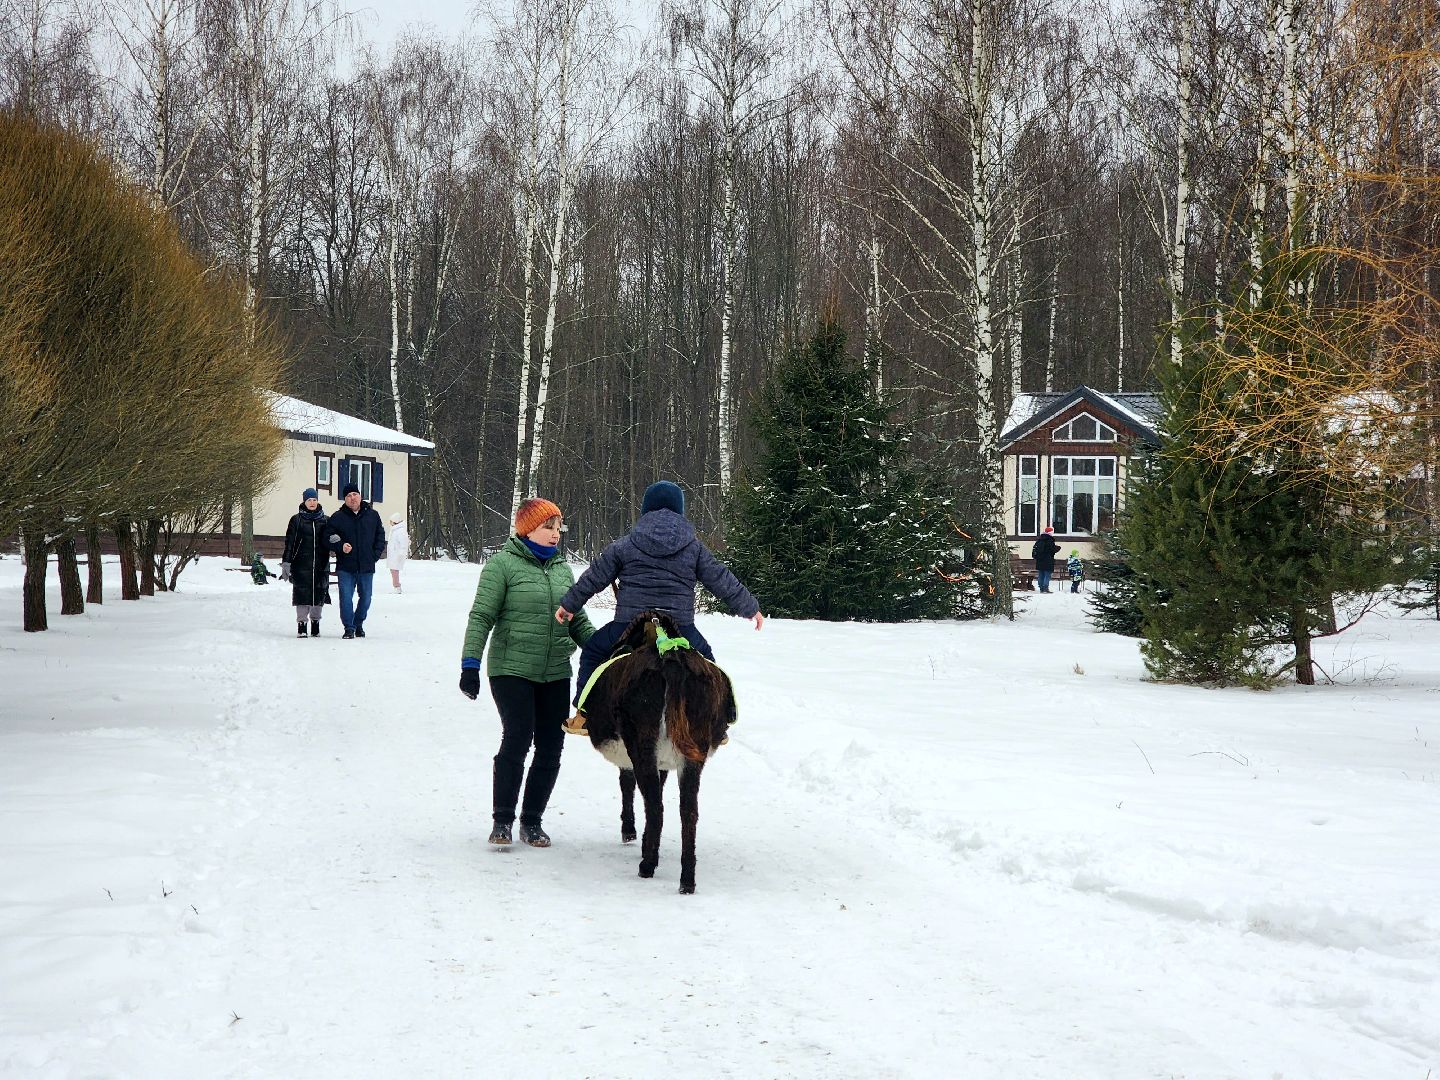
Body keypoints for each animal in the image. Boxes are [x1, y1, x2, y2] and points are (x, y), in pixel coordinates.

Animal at [580, 610, 736, 894]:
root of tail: (671, 660)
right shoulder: (664, 761)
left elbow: (627, 784)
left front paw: (629, 831)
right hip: (693, 752)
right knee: (689, 812)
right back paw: (687, 880)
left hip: (642, 744)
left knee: (655, 807)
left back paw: (647, 865)